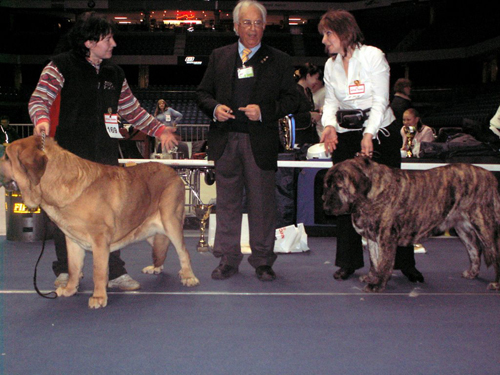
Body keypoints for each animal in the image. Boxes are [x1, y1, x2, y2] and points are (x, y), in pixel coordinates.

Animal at [0, 137, 199, 310]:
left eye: (6, 157)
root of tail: (173, 172)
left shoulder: (99, 241)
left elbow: (98, 271)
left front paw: (98, 297)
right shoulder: (72, 241)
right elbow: (73, 268)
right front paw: (70, 289)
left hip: (170, 221)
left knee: (183, 251)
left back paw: (188, 276)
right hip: (148, 229)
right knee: (161, 246)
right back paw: (156, 268)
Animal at [324, 156, 500, 294]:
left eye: (338, 187)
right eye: (327, 186)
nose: (325, 205)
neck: (370, 193)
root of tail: (490, 176)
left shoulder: (386, 237)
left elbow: (384, 262)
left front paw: (377, 284)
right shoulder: (373, 237)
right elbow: (374, 260)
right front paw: (372, 277)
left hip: (484, 225)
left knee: (494, 254)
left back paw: (496, 284)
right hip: (463, 229)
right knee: (475, 250)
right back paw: (472, 273)